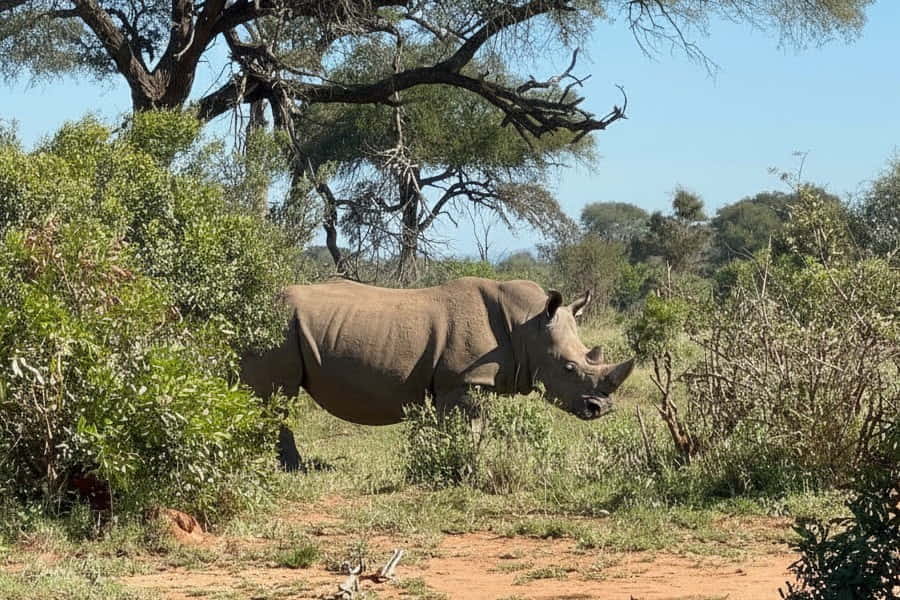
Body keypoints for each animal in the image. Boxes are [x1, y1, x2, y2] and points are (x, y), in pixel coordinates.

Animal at [240, 277, 635, 470]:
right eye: (569, 367)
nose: (601, 408)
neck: (528, 323)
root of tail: (254, 302)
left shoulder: (479, 384)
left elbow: (477, 428)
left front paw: (470, 462)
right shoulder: (461, 382)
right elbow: (462, 430)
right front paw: (459, 464)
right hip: (279, 326)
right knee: (278, 394)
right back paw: (291, 468)